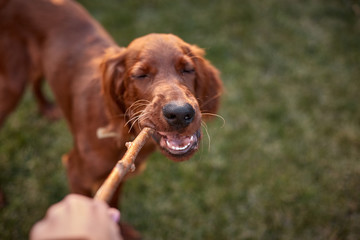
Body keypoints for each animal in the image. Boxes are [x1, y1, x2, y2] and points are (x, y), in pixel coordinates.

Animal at [0, 0, 222, 238]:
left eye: (188, 69)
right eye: (140, 75)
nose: (180, 113)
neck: (124, 132)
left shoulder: (118, 172)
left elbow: (113, 203)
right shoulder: (76, 172)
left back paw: (46, 108)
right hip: (12, 84)